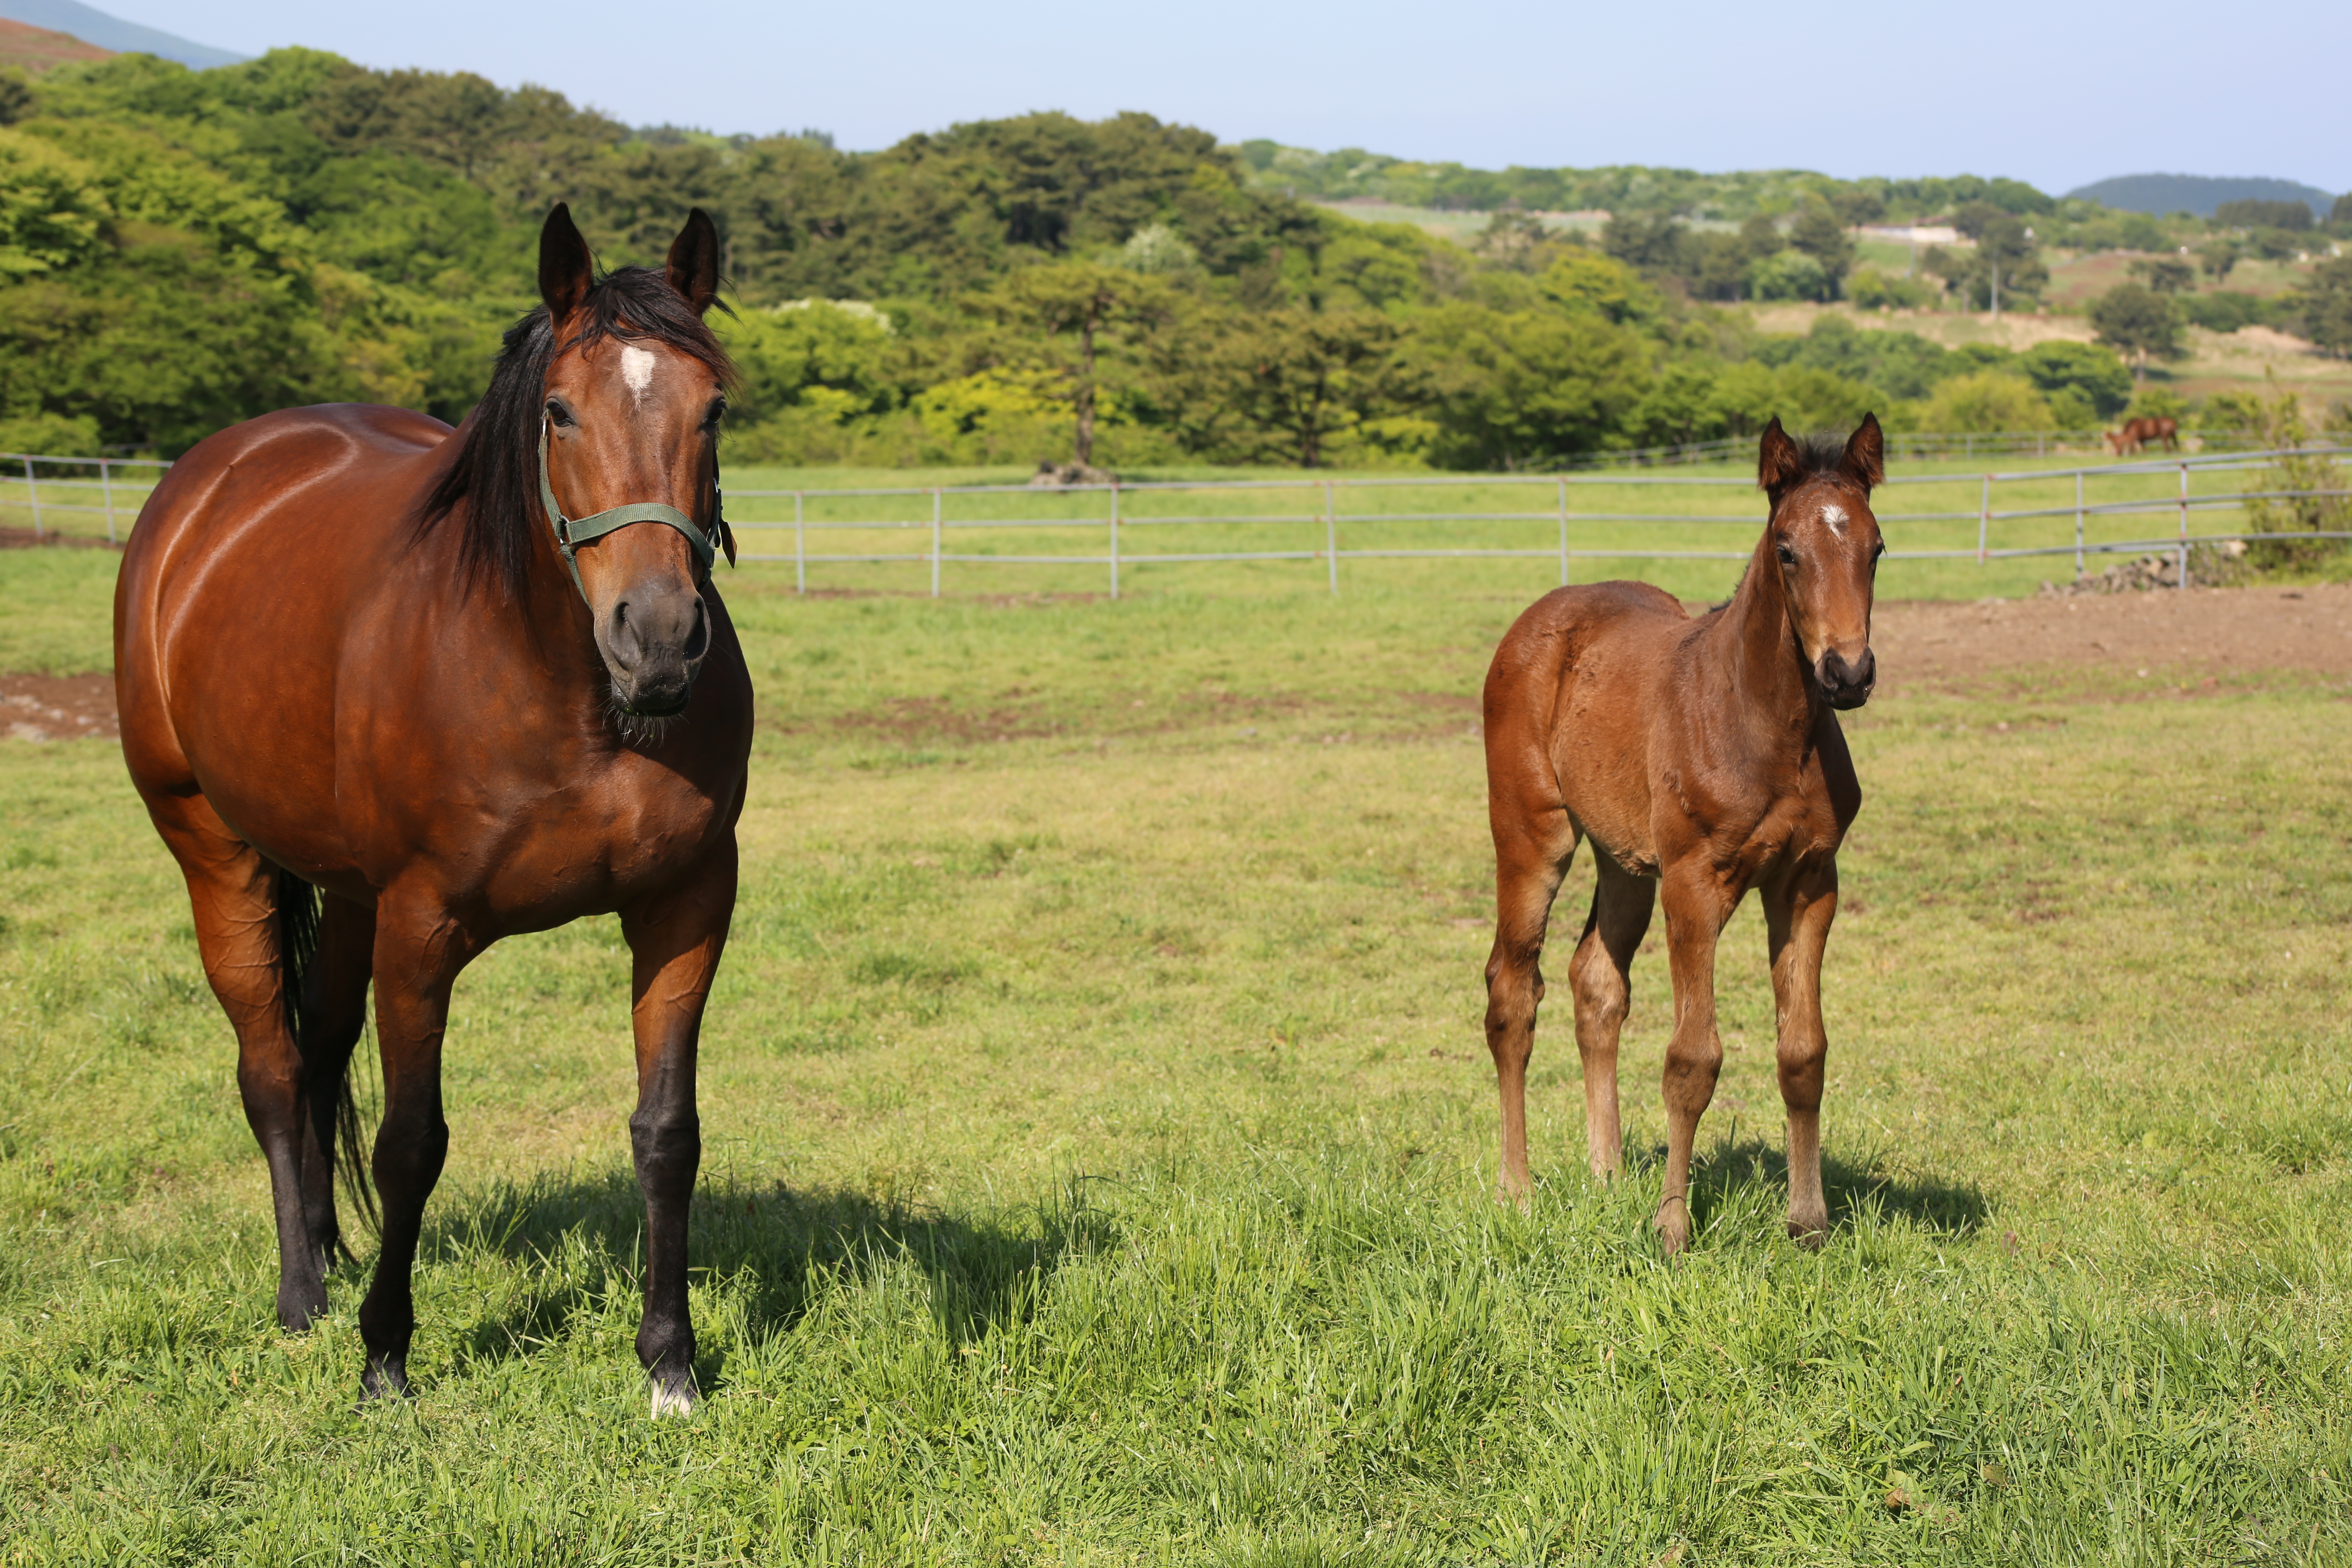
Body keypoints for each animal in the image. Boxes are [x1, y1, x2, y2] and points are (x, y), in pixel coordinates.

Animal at [114, 202, 748, 1420]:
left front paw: (669, 1364)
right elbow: (413, 1141)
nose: (657, 641)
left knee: (319, 1054)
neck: (568, 693)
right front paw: (385, 1360)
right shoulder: (423, 928)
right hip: (211, 848)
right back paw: (305, 1295)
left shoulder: (686, 907)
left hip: (345, 893)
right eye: (558, 410)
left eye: (715, 408)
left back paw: (329, 1246)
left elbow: (667, 1132)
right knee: (273, 1069)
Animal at [1477, 414, 1882, 1250]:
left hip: (1626, 861)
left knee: (1596, 982)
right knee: (1512, 992)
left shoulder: (1809, 882)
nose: (1848, 673)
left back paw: (1605, 1173)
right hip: (1534, 836)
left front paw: (1809, 1222)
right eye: (1787, 550)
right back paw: (1517, 1190)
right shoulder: (1696, 884)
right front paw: (1671, 1229)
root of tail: (1539, 618)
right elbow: (1693, 1060)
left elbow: (1804, 1052)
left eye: (1877, 547)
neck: (1765, 724)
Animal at [2107, 414, 2173, 456]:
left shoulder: (2135, 439)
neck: (2131, 428)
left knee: (2166, 444)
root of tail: (2171, 421)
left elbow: (2134, 447)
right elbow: (2141, 447)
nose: (2118, 454)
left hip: (2164, 436)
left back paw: (2168, 452)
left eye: (2117, 445)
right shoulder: (2139, 439)